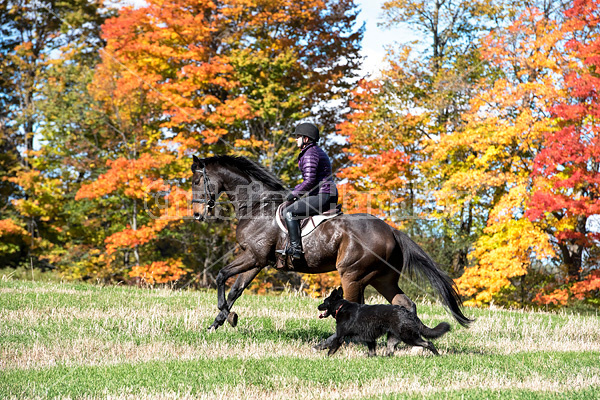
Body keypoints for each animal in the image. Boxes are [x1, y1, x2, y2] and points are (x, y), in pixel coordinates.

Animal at [190, 155, 472, 330]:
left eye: (196, 181)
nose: (196, 214)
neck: (256, 206)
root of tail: (392, 231)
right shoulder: (257, 260)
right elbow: (235, 289)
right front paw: (220, 321)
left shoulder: (254, 257)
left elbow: (221, 275)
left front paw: (226, 314)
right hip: (382, 278)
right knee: (405, 303)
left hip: (352, 274)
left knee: (358, 305)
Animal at [316, 288, 448, 356]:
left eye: (324, 301)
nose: (318, 306)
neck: (340, 307)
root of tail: (407, 312)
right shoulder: (369, 338)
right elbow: (372, 352)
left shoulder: (340, 337)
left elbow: (331, 350)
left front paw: (326, 358)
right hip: (393, 338)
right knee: (390, 352)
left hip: (409, 337)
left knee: (428, 343)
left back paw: (437, 355)